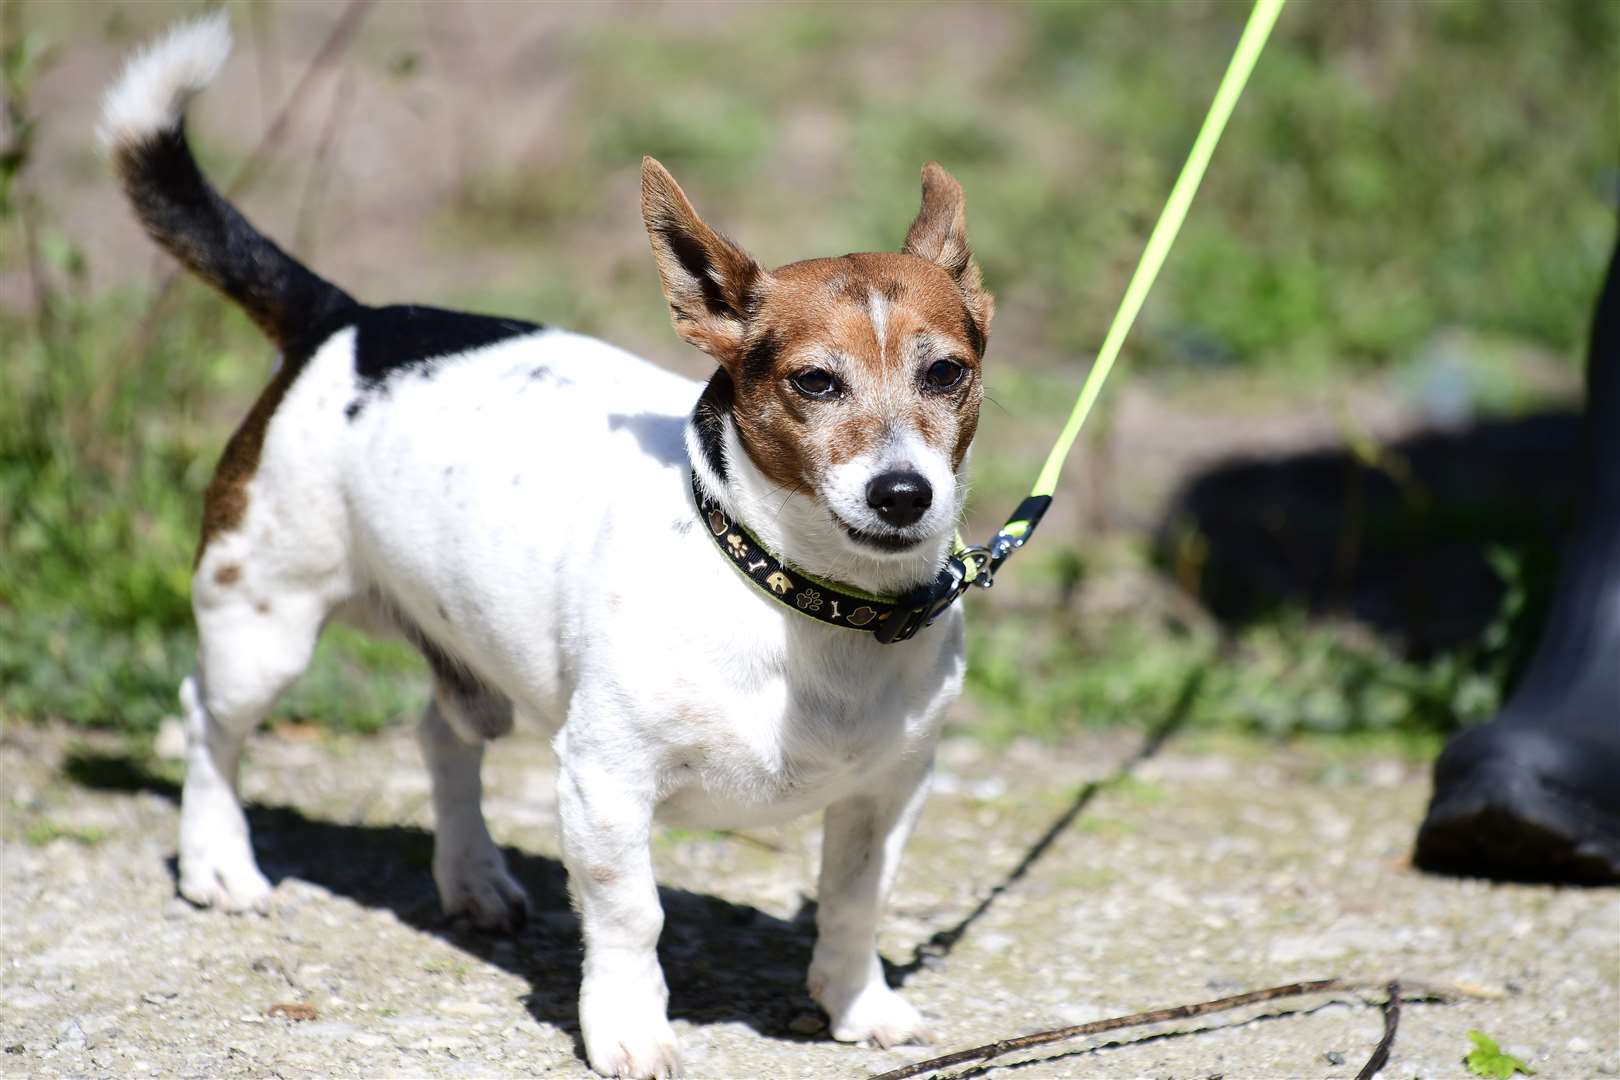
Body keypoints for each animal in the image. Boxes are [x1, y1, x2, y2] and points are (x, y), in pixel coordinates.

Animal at [101, 16, 991, 1080]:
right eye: (815, 383)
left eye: (947, 373)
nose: (904, 494)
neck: (796, 594)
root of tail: (345, 318)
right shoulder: (604, 784)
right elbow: (632, 918)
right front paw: (631, 1028)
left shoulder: (890, 791)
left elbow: (857, 901)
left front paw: (859, 1004)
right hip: (260, 626)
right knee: (208, 722)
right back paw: (219, 862)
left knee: (443, 736)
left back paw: (472, 876)